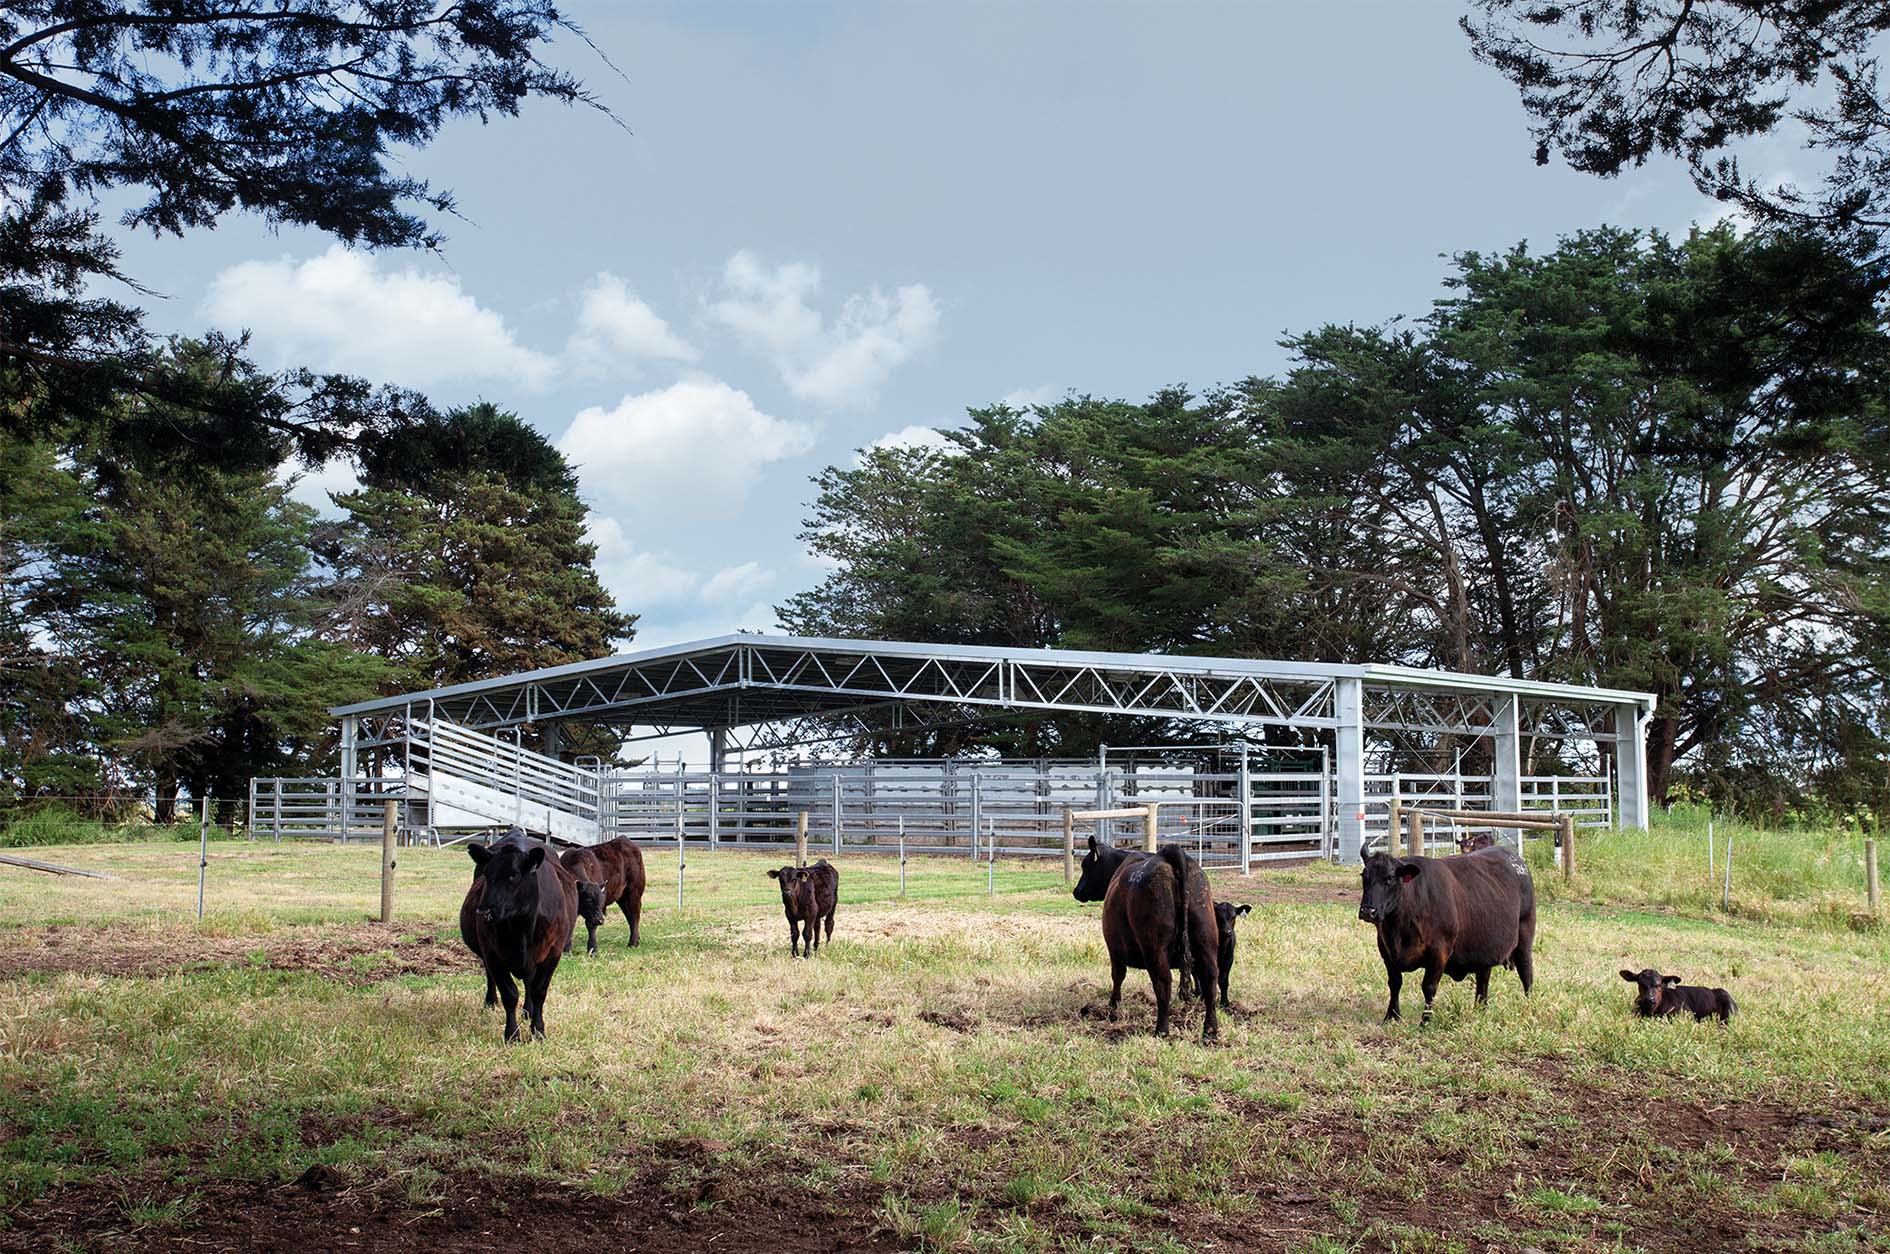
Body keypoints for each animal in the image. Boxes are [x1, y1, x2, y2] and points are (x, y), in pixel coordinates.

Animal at [1353, 843, 1527, 1028]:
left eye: (1390, 879)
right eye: (1364, 876)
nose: (1368, 911)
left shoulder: (1439, 951)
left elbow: (1429, 986)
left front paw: (1425, 1022)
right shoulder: (1386, 951)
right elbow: (1394, 983)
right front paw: (1391, 1016)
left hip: (1525, 933)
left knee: (1526, 971)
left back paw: (1528, 1003)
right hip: (1485, 949)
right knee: (1483, 980)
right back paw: (1480, 1010)